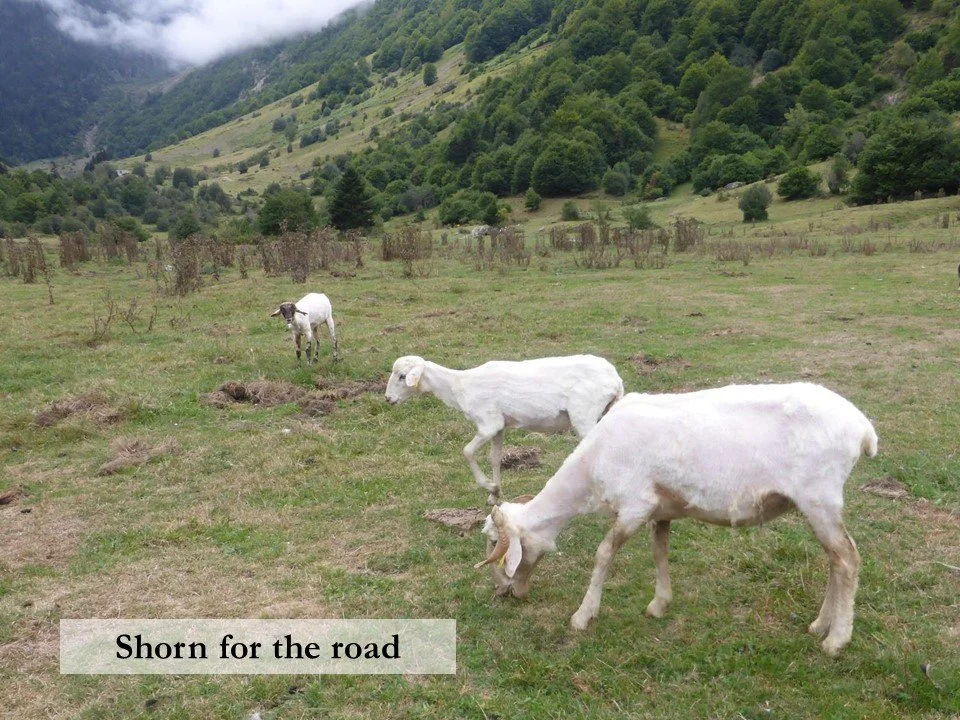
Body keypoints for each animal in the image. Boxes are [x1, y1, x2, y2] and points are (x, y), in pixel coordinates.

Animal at [385, 354, 624, 504]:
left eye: (402, 376)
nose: (387, 399)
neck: (458, 386)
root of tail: (615, 380)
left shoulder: (488, 423)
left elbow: (467, 452)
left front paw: (490, 487)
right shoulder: (499, 427)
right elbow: (494, 458)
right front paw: (495, 495)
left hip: (584, 414)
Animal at [476, 383, 878, 657]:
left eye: (497, 545)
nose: (503, 593)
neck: (589, 471)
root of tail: (863, 428)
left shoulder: (635, 505)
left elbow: (603, 554)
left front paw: (582, 616)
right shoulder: (661, 510)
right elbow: (660, 552)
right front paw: (659, 604)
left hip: (819, 497)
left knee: (847, 559)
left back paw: (836, 639)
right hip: (817, 503)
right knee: (836, 559)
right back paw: (820, 625)